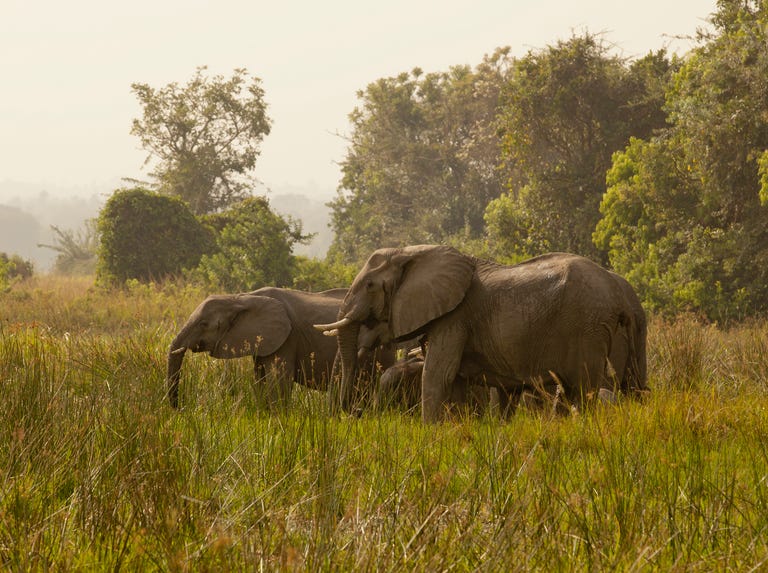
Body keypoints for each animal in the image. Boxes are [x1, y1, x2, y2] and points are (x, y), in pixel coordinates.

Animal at [167, 286, 348, 406]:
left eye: (203, 324)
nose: (180, 407)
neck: (239, 299)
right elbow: (260, 379)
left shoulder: (287, 338)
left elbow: (279, 382)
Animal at [316, 244, 648, 422]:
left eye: (370, 285)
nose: (355, 411)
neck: (415, 251)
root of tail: (617, 292)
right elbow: (454, 381)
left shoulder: (454, 317)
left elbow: (438, 374)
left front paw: (429, 432)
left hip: (586, 327)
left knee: (583, 388)